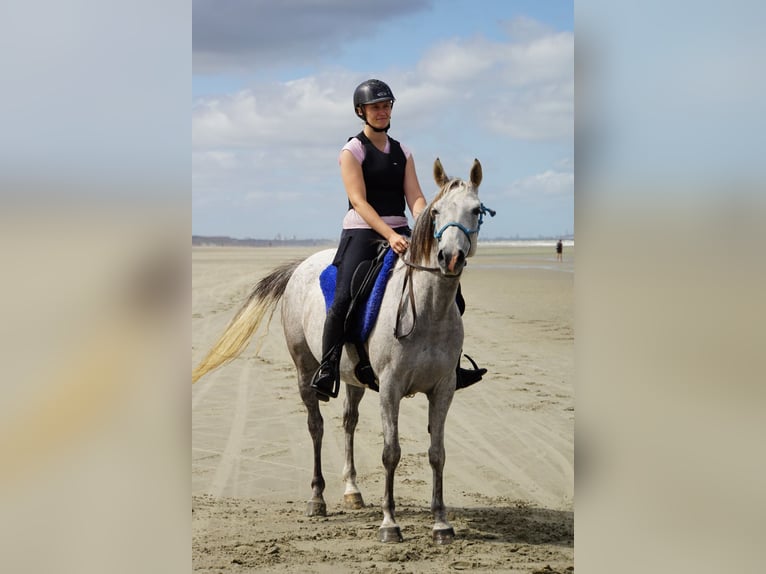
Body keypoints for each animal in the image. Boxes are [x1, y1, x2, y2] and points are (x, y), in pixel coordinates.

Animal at [193, 158, 491, 544]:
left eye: (476, 210)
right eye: (437, 212)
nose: (450, 258)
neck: (428, 310)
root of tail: (300, 266)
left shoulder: (443, 389)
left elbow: (437, 454)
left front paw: (441, 523)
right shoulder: (391, 388)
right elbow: (391, 452)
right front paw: (389, 524)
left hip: (353, 378)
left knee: (348, 422)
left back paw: (352, 492)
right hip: (305, 369)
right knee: (316, 426)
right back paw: (317, 500)